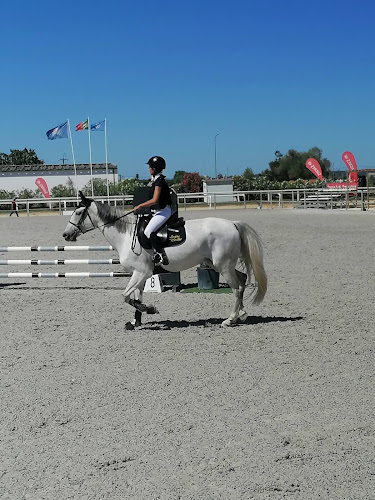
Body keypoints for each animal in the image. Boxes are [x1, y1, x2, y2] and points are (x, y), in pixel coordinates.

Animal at [62, 191, 268, 328]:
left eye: (78, 213)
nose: (66, 235)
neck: (126, 235)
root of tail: (232, 224)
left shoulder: (142, 272)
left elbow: (126, 295)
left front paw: (149, 309)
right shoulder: (140, 274)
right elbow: (135, 296)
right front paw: (135, 321)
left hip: (223, 265)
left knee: (236, 288)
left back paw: (230, 319)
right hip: (218, 264)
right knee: (242, 280)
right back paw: (242, 315)